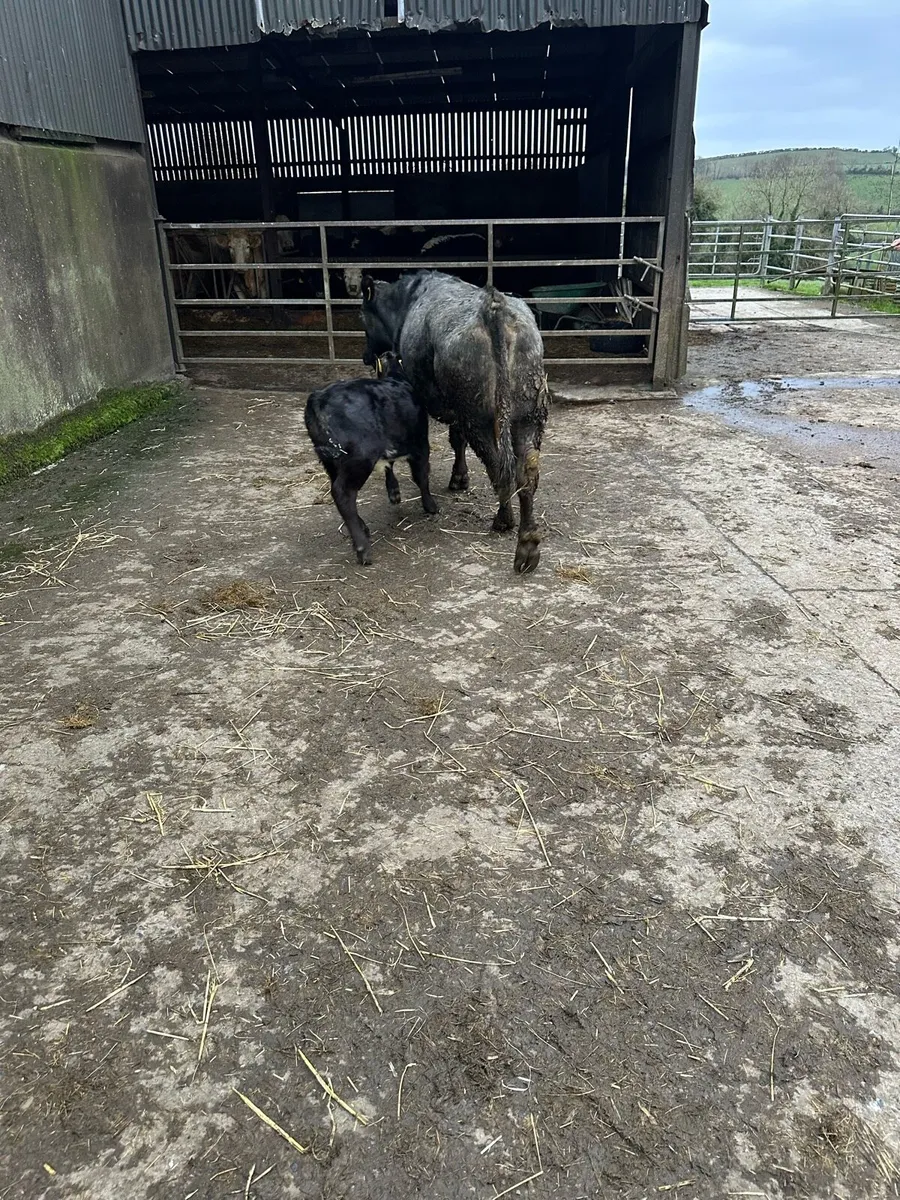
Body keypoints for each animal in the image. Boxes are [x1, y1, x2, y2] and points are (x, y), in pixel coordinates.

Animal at [304, 352, 438, 566]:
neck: (397, 377)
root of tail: (318, 398)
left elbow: (390, 466)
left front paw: (394, 492)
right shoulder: (420, 443)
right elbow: (421, 475)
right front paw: (430, 506)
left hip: (331, 462)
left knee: (336, 489)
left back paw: (363, 528)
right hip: (360, 458)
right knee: (343, 493)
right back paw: (363, 548)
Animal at [360, 271, 549, 574]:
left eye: (362, 317)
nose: (366, 356)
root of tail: (493, 306)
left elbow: (454, 439)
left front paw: (458, 478)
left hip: (476, 415)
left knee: (498, 467)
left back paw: (504, 520)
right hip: (528, 414)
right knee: (526, 473)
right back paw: (528, 544)